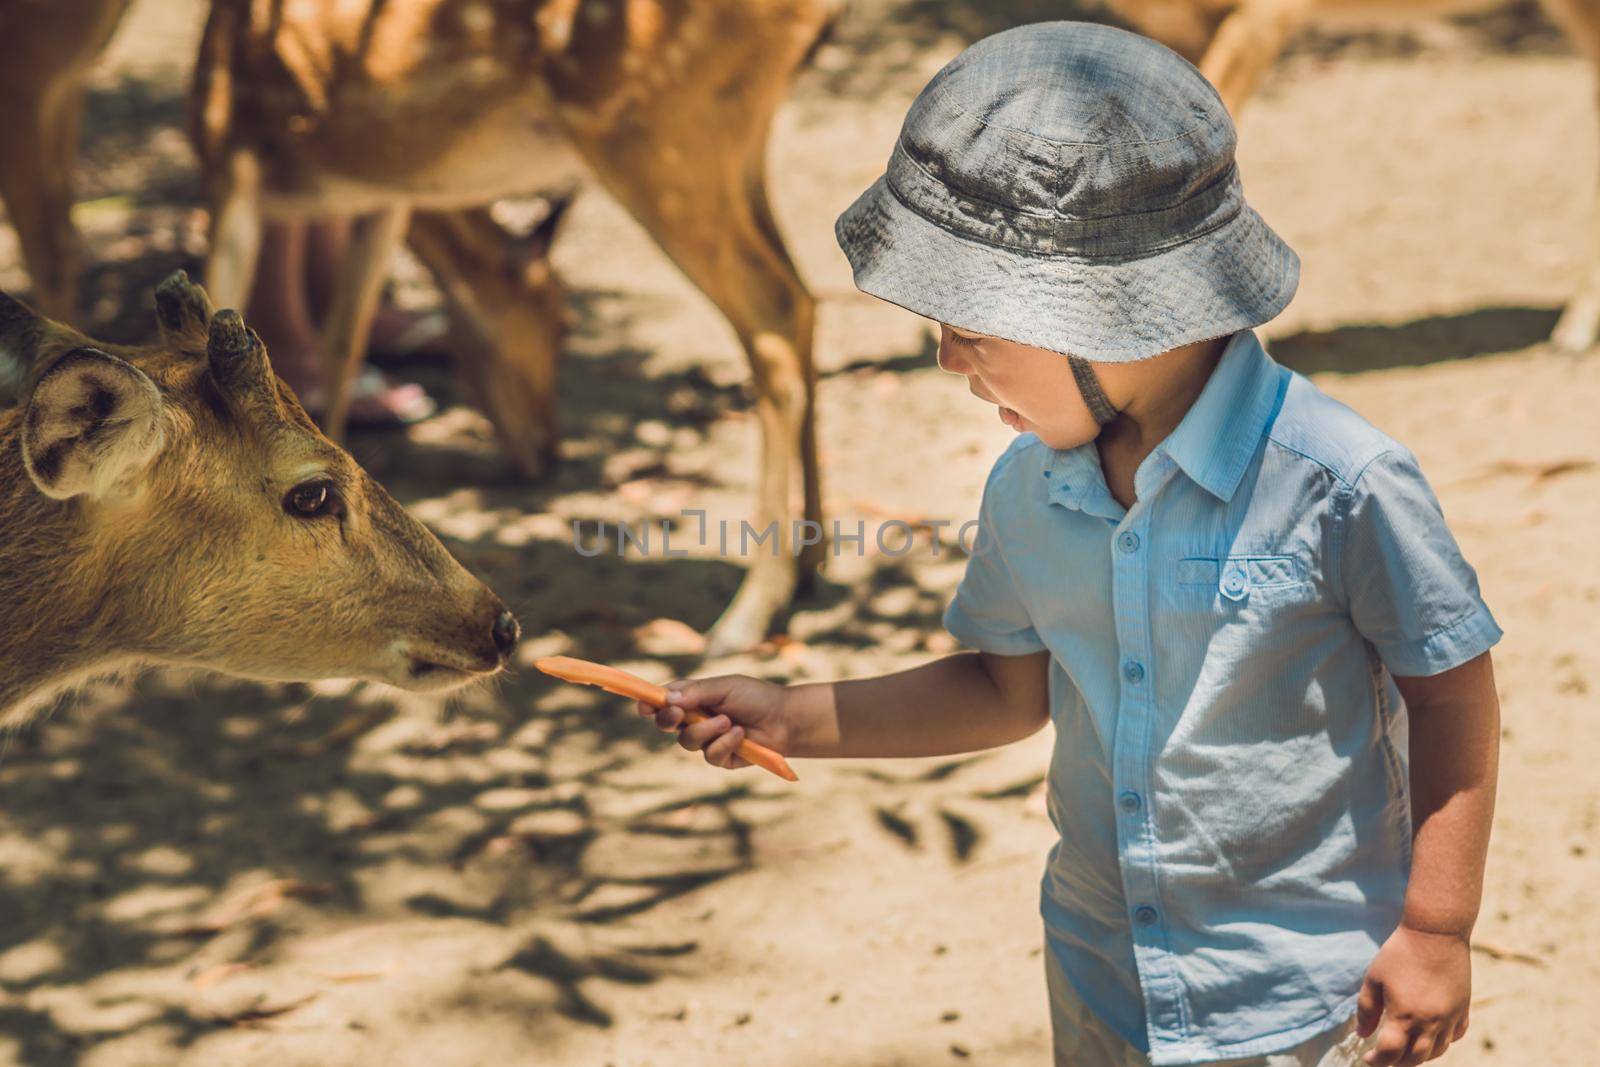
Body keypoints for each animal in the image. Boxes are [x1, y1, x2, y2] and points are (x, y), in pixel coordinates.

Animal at [190, 0, 838, 655]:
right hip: (739, 141)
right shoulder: (384, 194)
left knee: (776, 314)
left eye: (566, 326)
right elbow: (342, 343)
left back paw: (745, 614)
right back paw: (811, 566)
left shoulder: (230, 165)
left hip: (656, 134)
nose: (547, 450)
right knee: (807, 296)